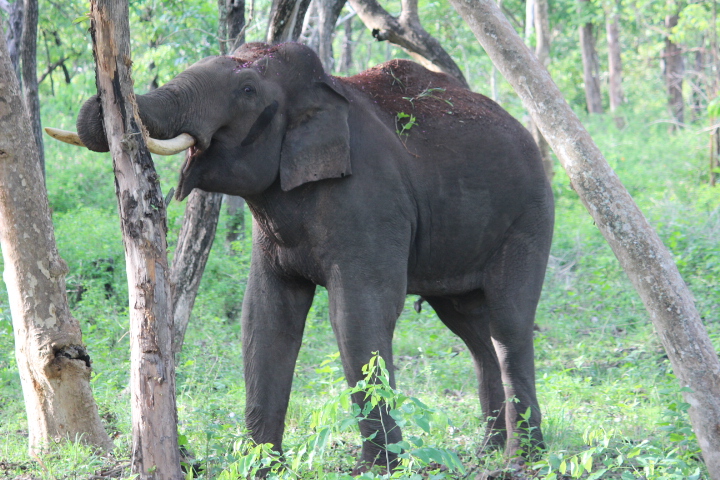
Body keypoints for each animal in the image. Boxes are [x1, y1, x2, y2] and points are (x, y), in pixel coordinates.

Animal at [67, 42, 556, 472]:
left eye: (248, 91)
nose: (107, 104)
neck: (326, 91)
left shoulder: (370, 203)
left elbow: (359, 315)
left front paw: (378, 469)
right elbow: (264, 317)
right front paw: (263, 468)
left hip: (529, 218)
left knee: (509, 323)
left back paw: (521, 460)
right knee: (472, 328)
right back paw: (489, 453)